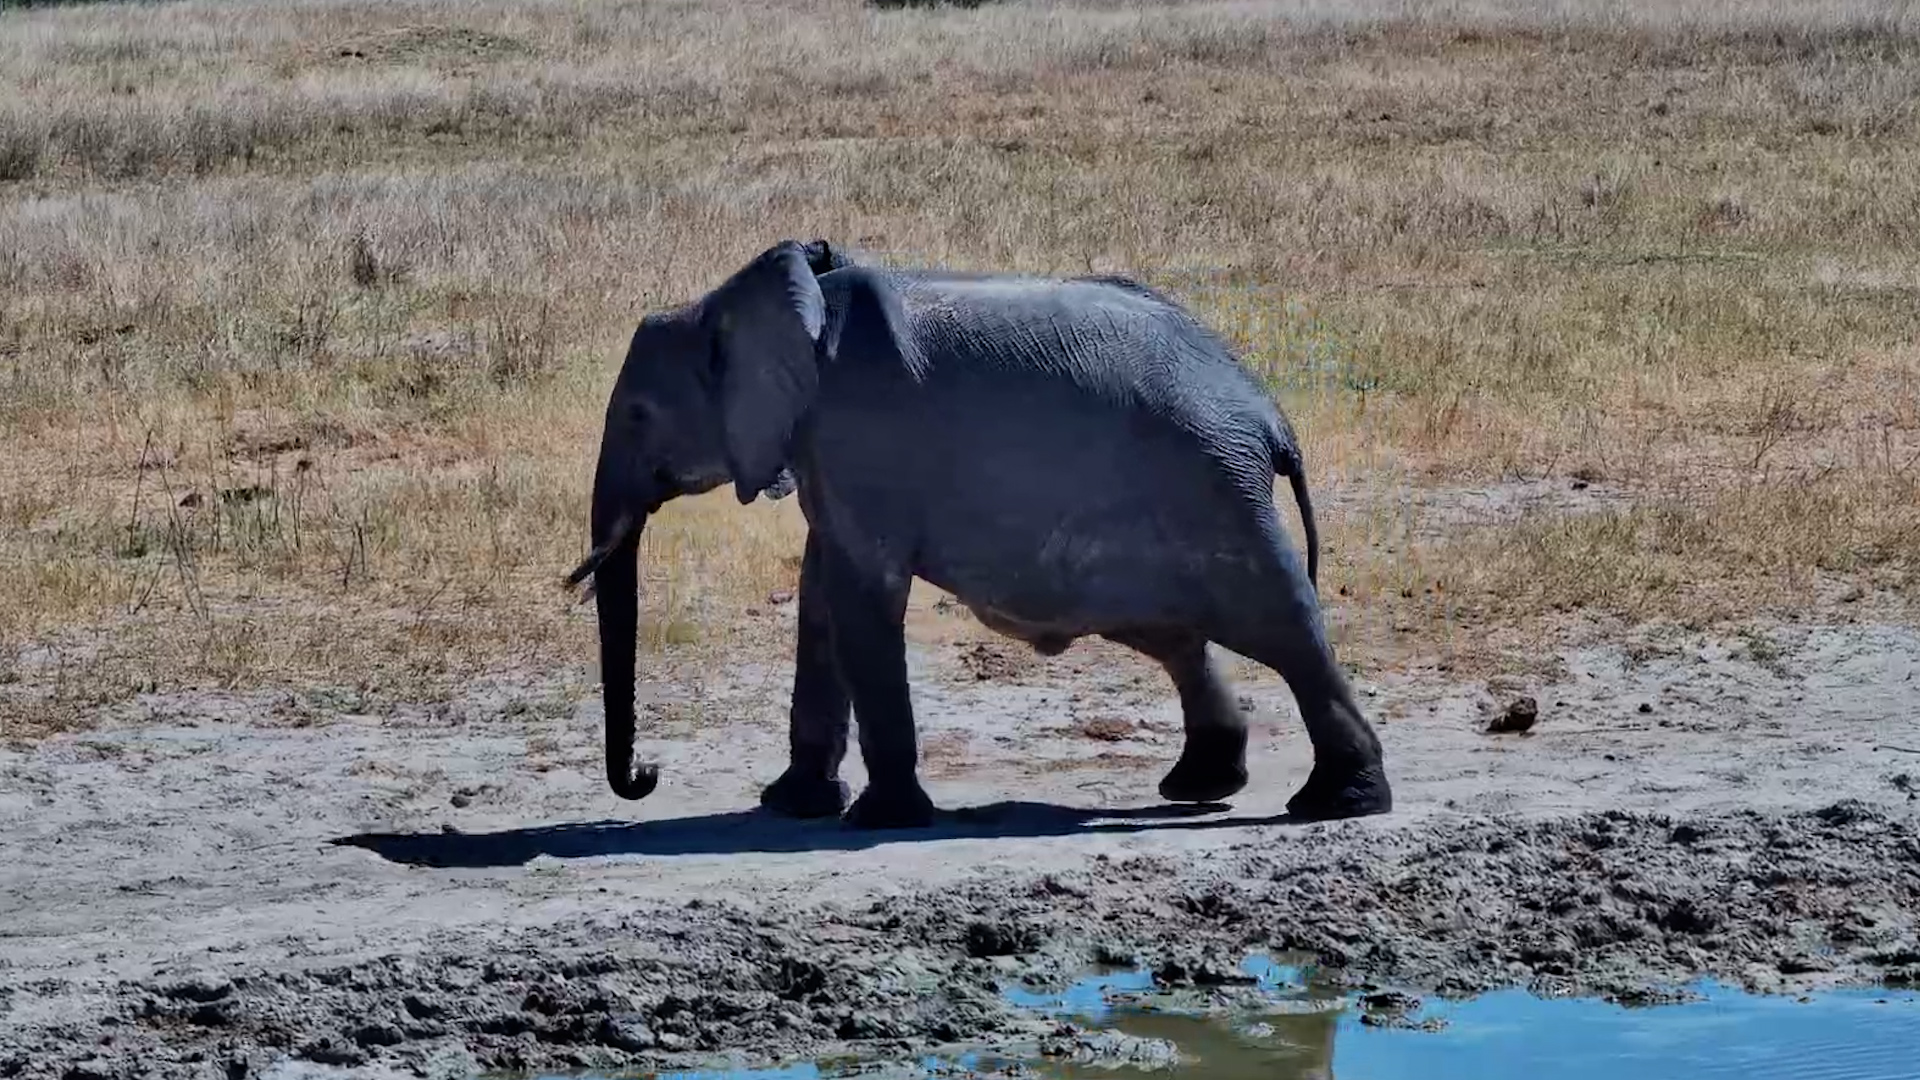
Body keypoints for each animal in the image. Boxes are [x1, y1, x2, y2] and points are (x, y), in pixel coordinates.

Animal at [564, 238, 1392, 830]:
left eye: (638, 413)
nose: (646, 776)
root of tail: (1272, 418)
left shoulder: (862, 435)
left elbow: (860, 595)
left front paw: (880, 821)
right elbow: (821, 595)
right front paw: (792, 805)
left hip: (1217, 492)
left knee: (1281, 625)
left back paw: (1337, 803)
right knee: (1175, 635)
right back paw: (1200, 785)